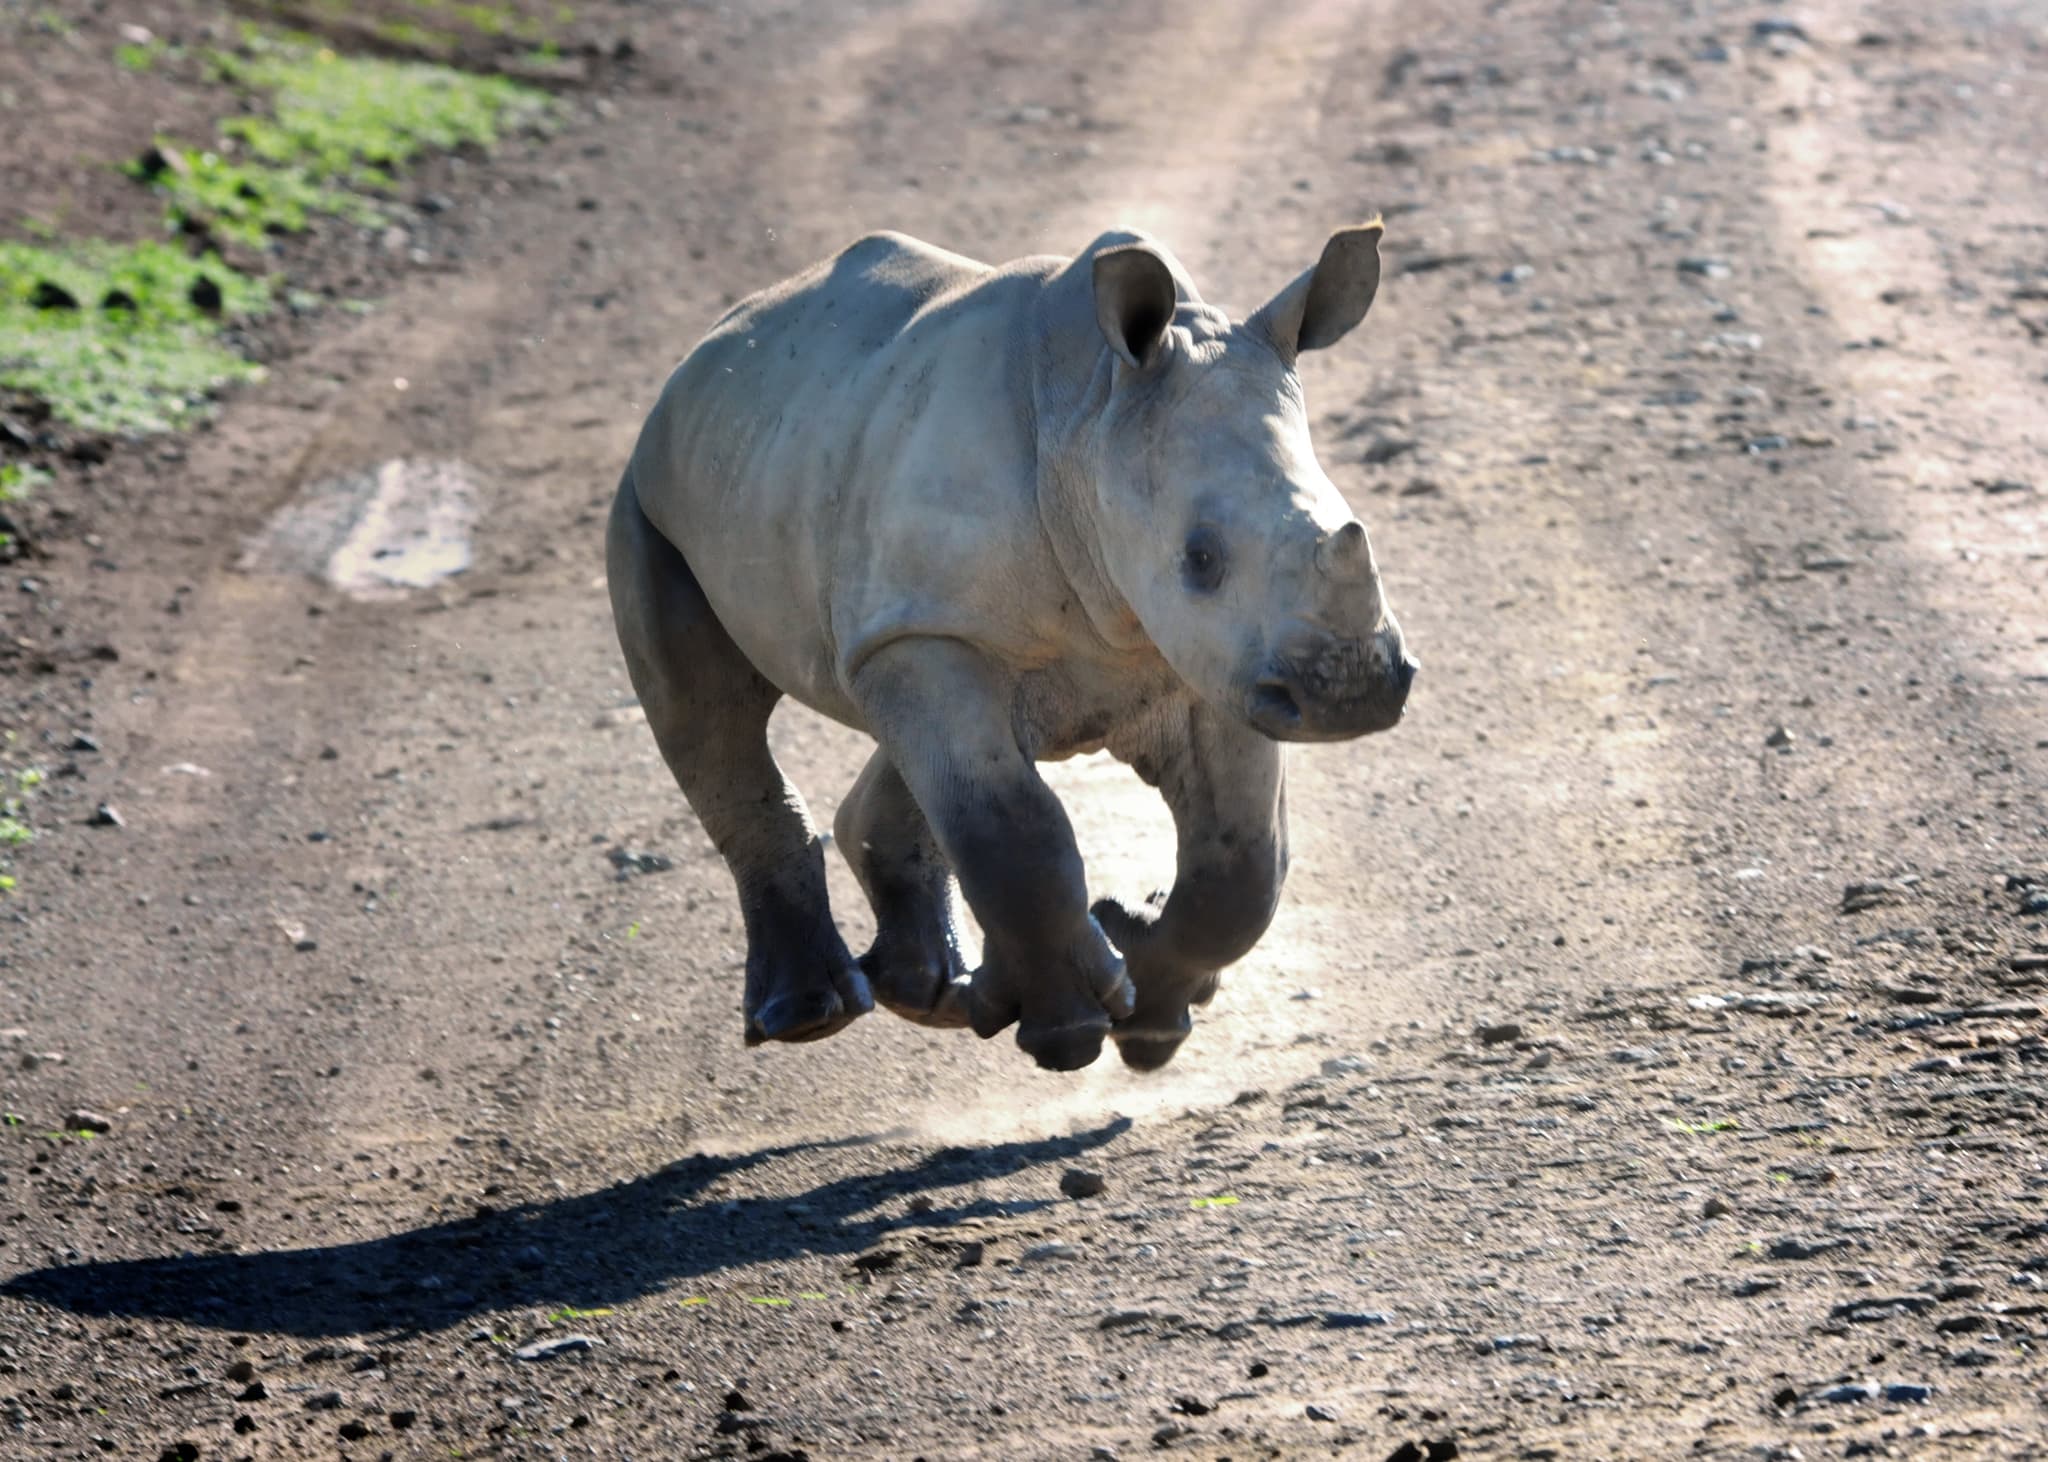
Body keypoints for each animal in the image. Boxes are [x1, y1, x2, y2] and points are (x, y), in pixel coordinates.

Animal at [607, 223, 1416, 1072]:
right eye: (1199, 558)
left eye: (1354, 526)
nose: (1353, 693)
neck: (1093, 416)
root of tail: (700, 358)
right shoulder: (945, 627)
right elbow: (1012, 827)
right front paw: (1070, 1032)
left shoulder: (1218, 661)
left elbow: (1243, 861)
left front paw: (1149, 1022)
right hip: (651, 500)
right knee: (708, 712)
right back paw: (810, 1016)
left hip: (804, 474)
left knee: (901, 734)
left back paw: (928, 997)